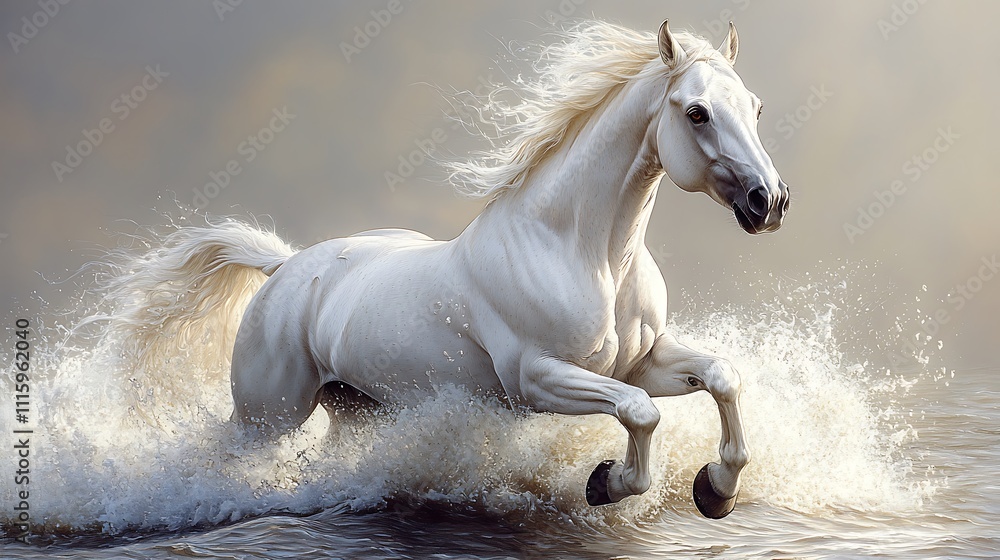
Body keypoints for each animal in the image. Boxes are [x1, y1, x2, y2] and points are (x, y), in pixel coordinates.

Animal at [97, 19, 789, 519]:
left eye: (755, 106)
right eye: (696, 112)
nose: (769, 201)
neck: (580, 251)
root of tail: (285, 267)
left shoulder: (643, 360)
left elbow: (722, 377)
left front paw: (716, 489)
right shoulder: (537, 379)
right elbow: (640, 412)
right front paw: (606, 483)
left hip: (358, 411)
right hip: (266, 414)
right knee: (221, 456)